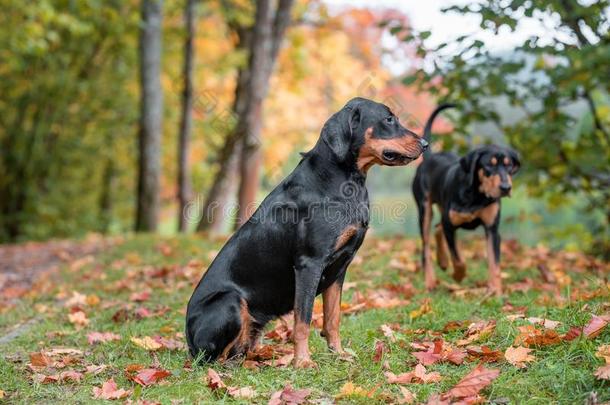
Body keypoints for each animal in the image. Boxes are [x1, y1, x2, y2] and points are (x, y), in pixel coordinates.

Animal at [185, 97, 428, 366]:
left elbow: (332, 318)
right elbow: (303, 320)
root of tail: (188, 338)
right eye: (388, 119)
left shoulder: (339, 267)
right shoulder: (309, 264)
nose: (425, 144)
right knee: (210, 358)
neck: (347, 181)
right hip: (230, 301)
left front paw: (338, 354)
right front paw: (302, 362)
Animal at [408, 104, 516, 294]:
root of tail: (431, 157)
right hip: (424, 209)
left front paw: (496, 291)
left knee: (437, 228)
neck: (476, 196)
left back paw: (443, 262)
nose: (505, 188)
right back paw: (430, 281)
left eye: (509, 165)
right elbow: (458, 259)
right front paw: (458, 276)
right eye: (488, 166)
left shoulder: (492, 229)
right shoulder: (450, 226)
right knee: (426, 246)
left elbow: (494, 263)